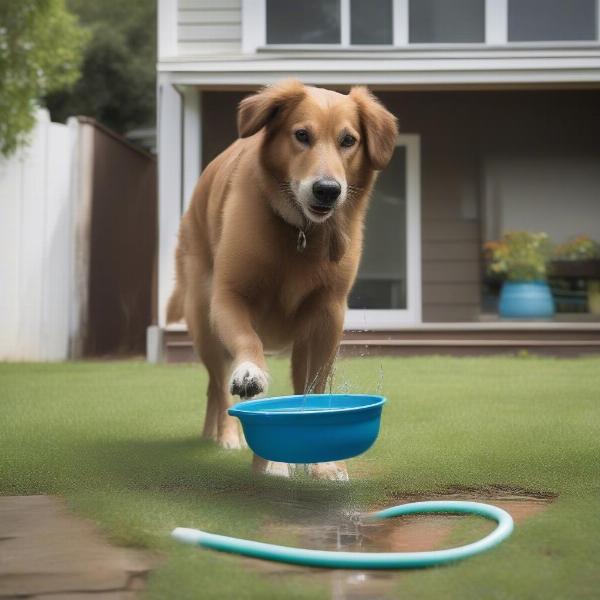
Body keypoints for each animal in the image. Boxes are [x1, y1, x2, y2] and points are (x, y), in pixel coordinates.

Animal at [166, 79, 398, 480]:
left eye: (348, 140)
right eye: (301, 135)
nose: (327, 190)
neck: (300, 231)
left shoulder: (328, 316)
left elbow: (315, 391)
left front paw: (323, 465)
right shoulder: (229, 299)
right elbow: (249, 356)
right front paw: (268, 459)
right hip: (204, 321)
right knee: (217, 385)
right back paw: (226, 435)